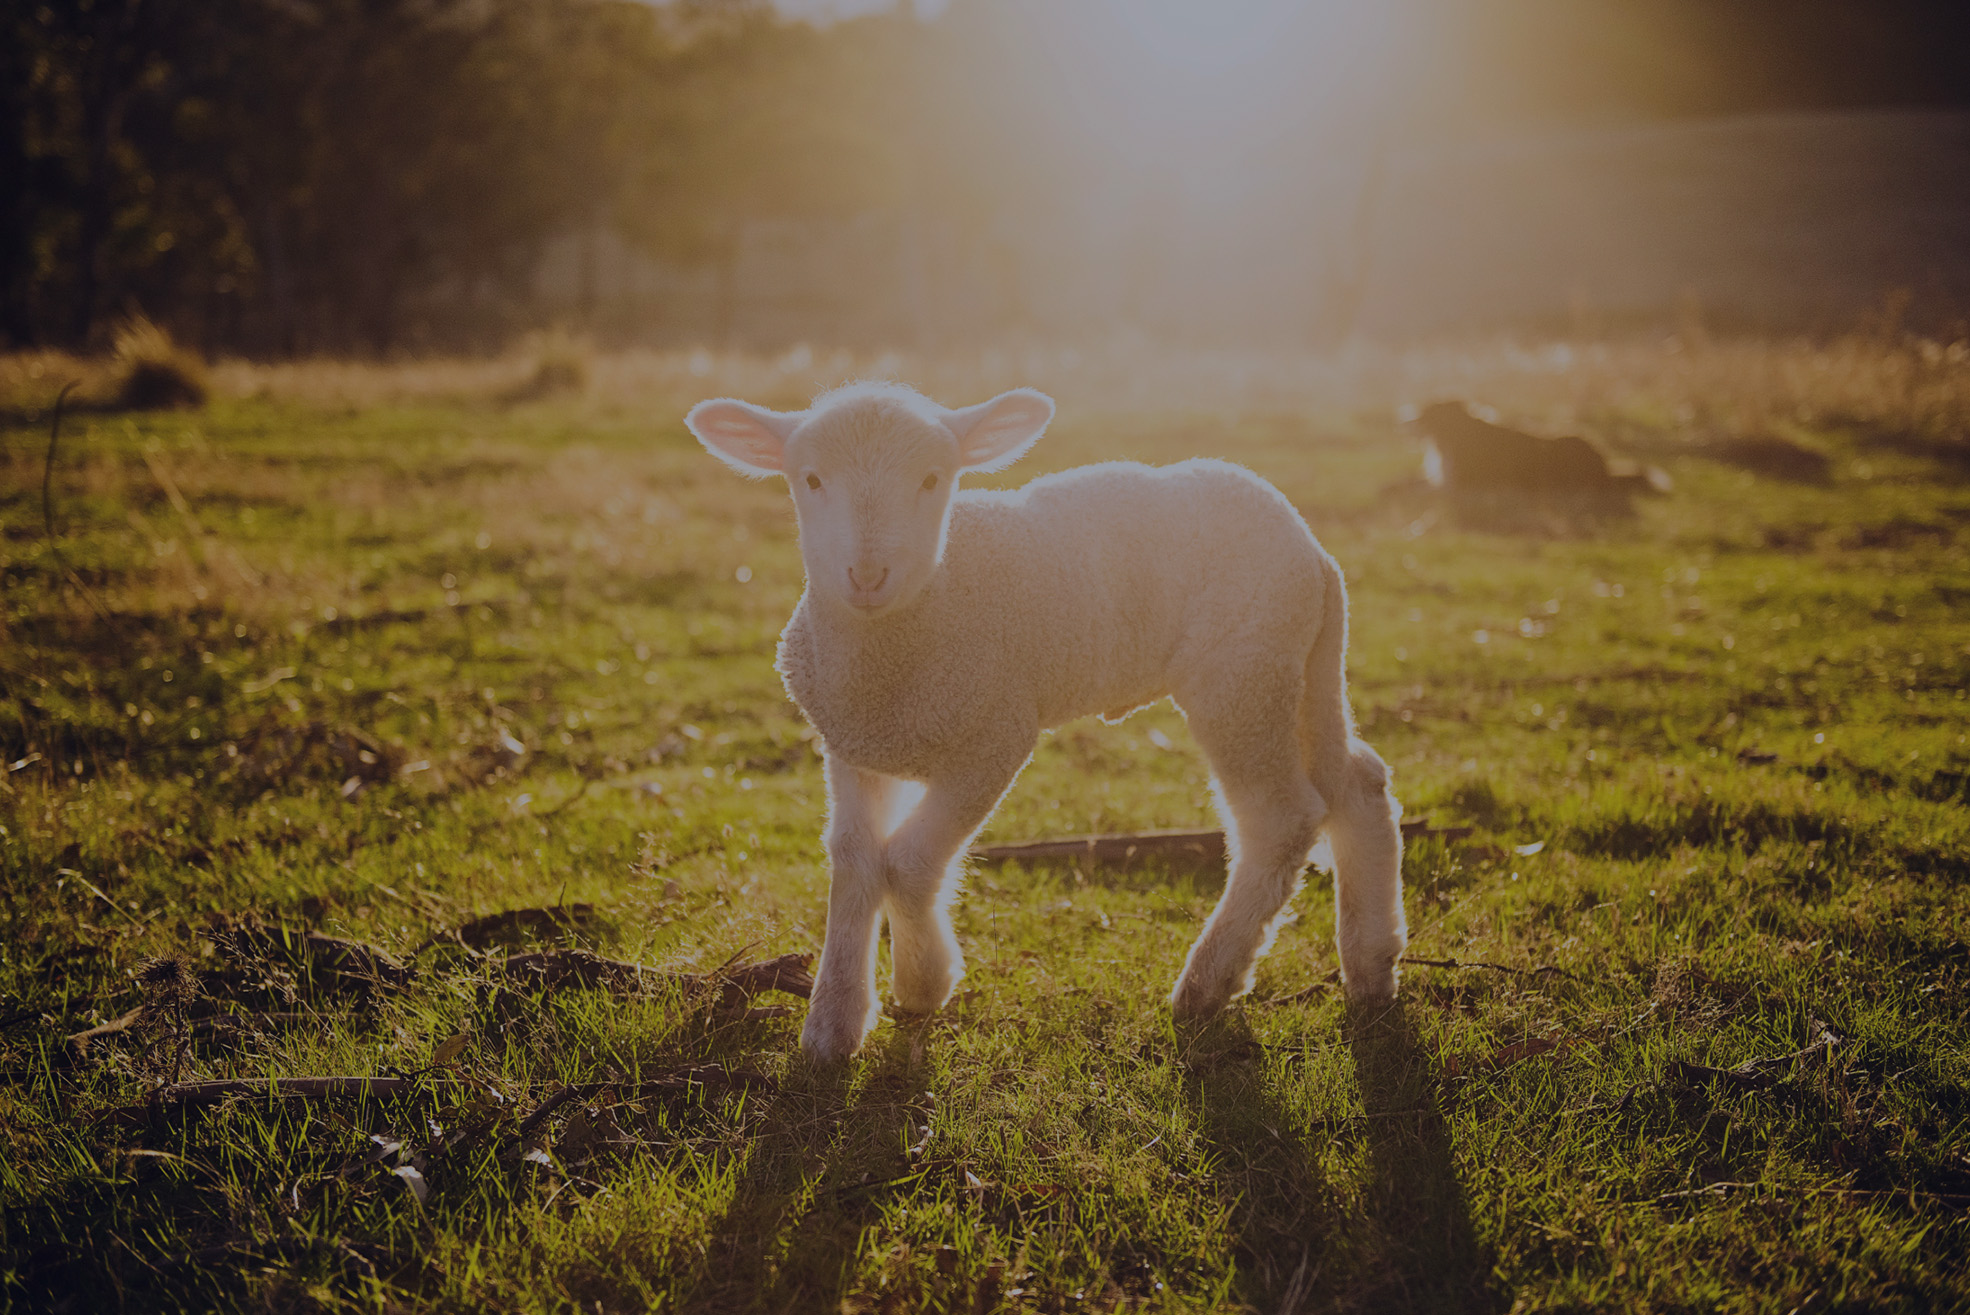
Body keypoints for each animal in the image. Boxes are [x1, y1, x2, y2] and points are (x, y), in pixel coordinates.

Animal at [686, 381, 1405, 1061]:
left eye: (932, 479)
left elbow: (909, 861)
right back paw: (1372, 965)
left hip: (1242, 676)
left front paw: (923, 982)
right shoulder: (853, 745)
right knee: (1359, 783)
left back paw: (1208, 982)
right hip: (1303, 667)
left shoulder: (994, 738)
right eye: (809, 479)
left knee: (1280, 820)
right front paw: (834, 1022)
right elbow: (855, 859)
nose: (866, 574)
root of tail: (1314, 551)